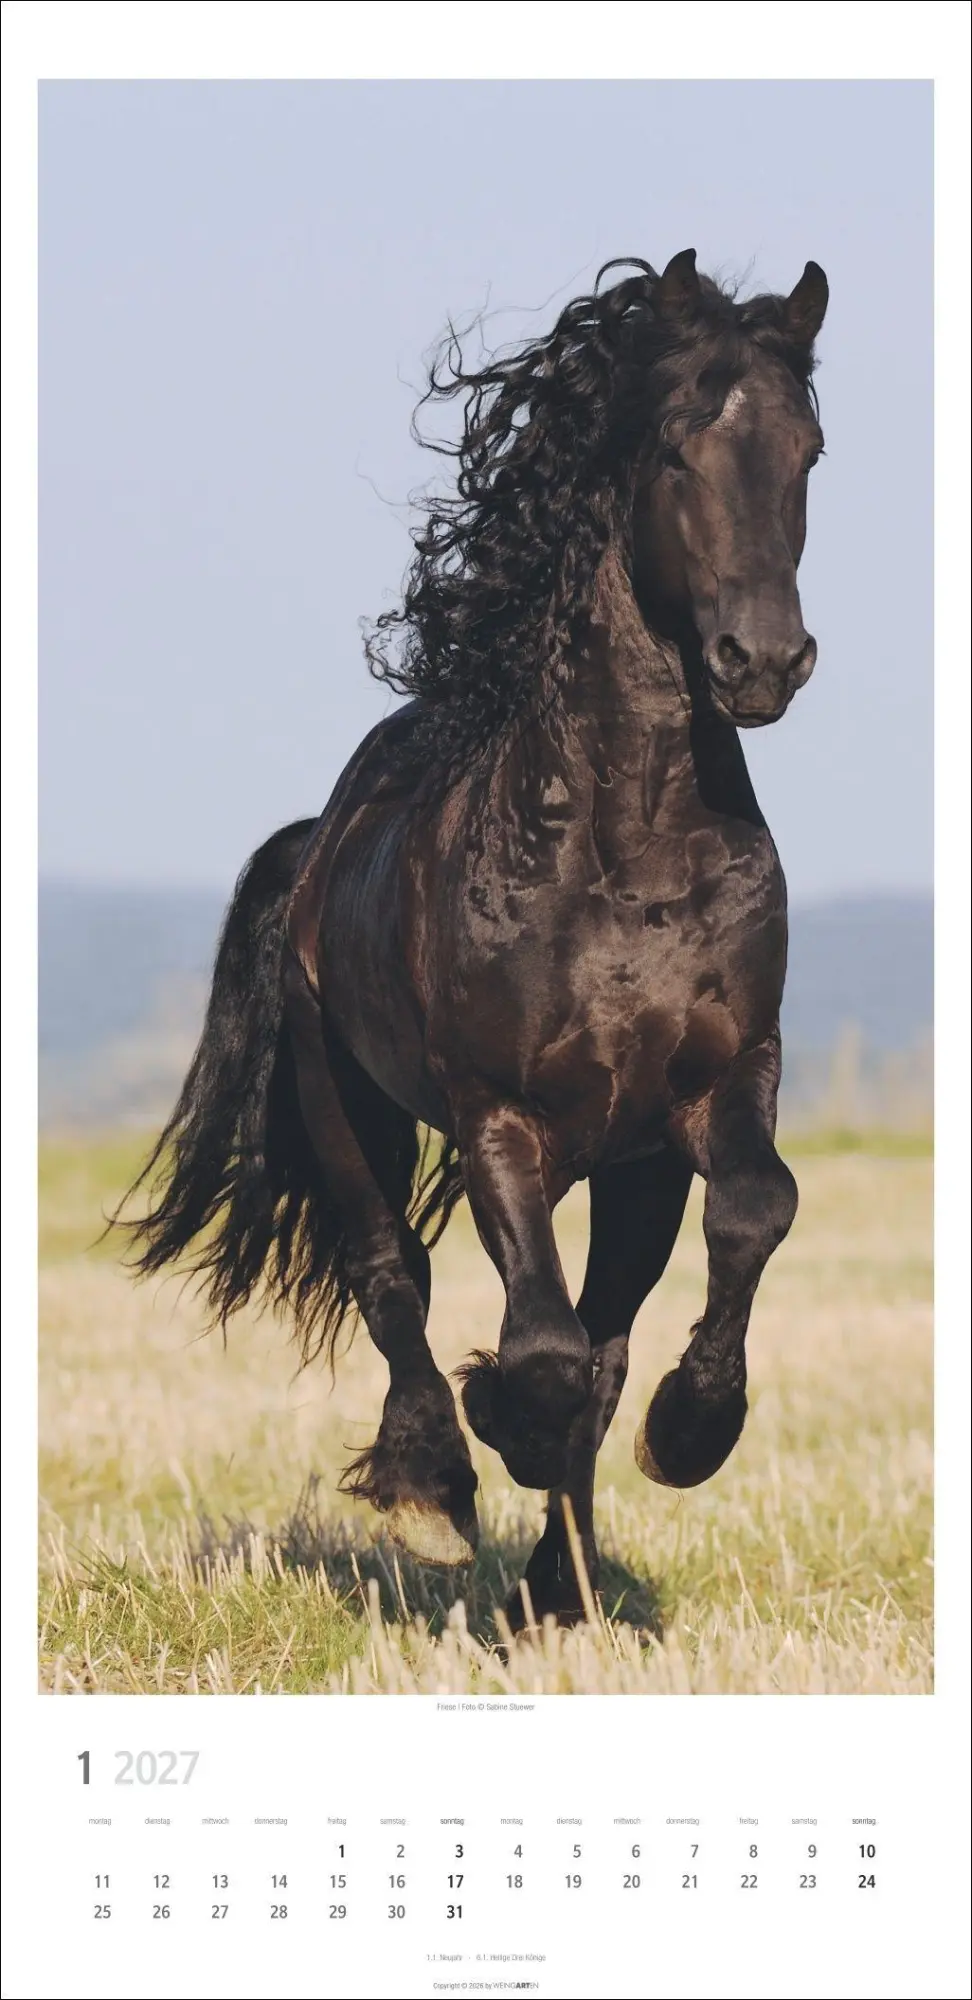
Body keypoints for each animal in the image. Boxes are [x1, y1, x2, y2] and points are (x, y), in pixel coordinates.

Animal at [119, 248, 829, 1626]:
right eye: (675, 448)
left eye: (810, 450)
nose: (762, 661)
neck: (629, 855)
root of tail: (320, 843)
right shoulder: (501, 1111)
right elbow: (535, 1341)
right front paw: (500, 1416)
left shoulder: (720, 1082)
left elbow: (750, 1214)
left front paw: (690, 1432)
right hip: (351, 1109)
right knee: (394, 1278)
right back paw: (436, 1483)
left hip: (632, 1167)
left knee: (607, 1327)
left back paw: (563, 1576)